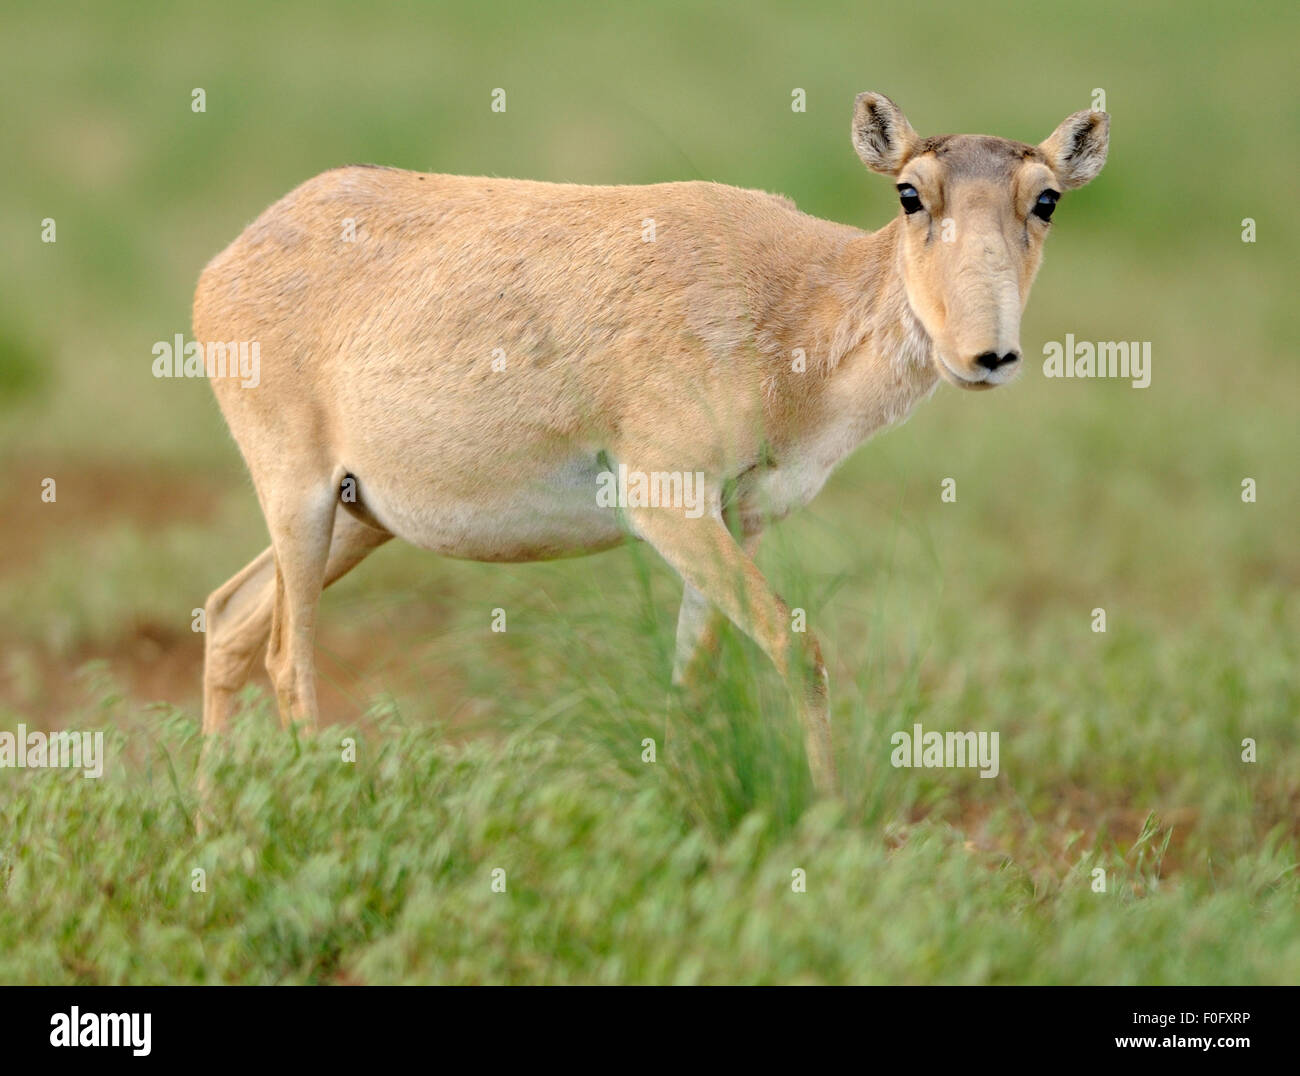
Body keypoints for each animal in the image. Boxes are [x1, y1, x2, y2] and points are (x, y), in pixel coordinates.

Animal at [197, 96, 1112, 795]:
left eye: (1046, 199)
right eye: (910, 194)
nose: (986, 356)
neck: (795, 304)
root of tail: (226, 262)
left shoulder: (737, 518)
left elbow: (696, 672)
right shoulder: (666, 501)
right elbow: (799, 648)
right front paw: (830, 818)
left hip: (362, 517)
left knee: (231, 616)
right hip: (299, 496)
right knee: (285, 655)